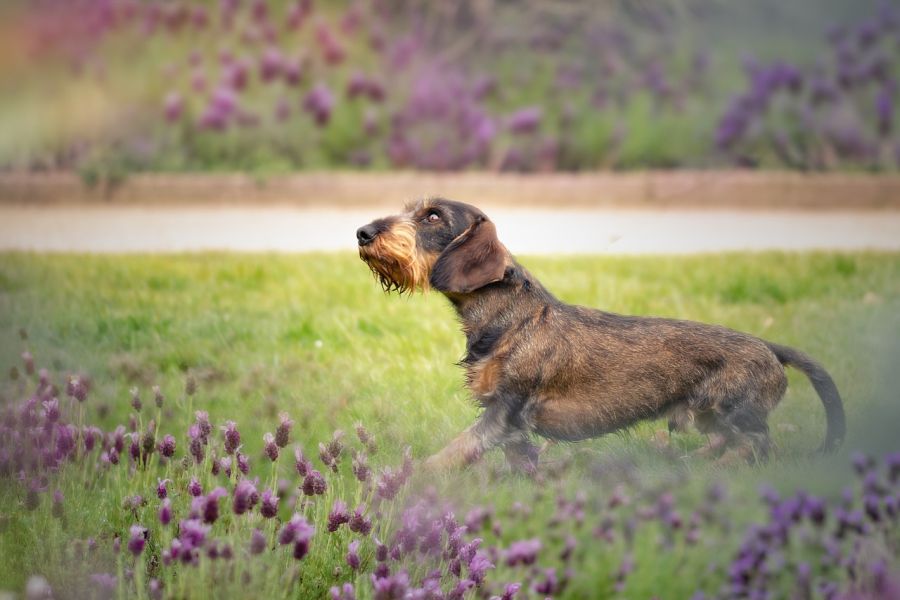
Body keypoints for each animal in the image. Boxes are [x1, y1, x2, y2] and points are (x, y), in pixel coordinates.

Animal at [356, 199, 848, 472]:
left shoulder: (504, 411)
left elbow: (456, 450)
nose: (362, 232)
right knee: (731, 444)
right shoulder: (513, 427)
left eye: (432, 216)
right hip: (707, 415)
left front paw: (411, 479)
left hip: (736, 412)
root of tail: (771, 348)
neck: (511, 317)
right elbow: (518, 461)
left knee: (759, 447)